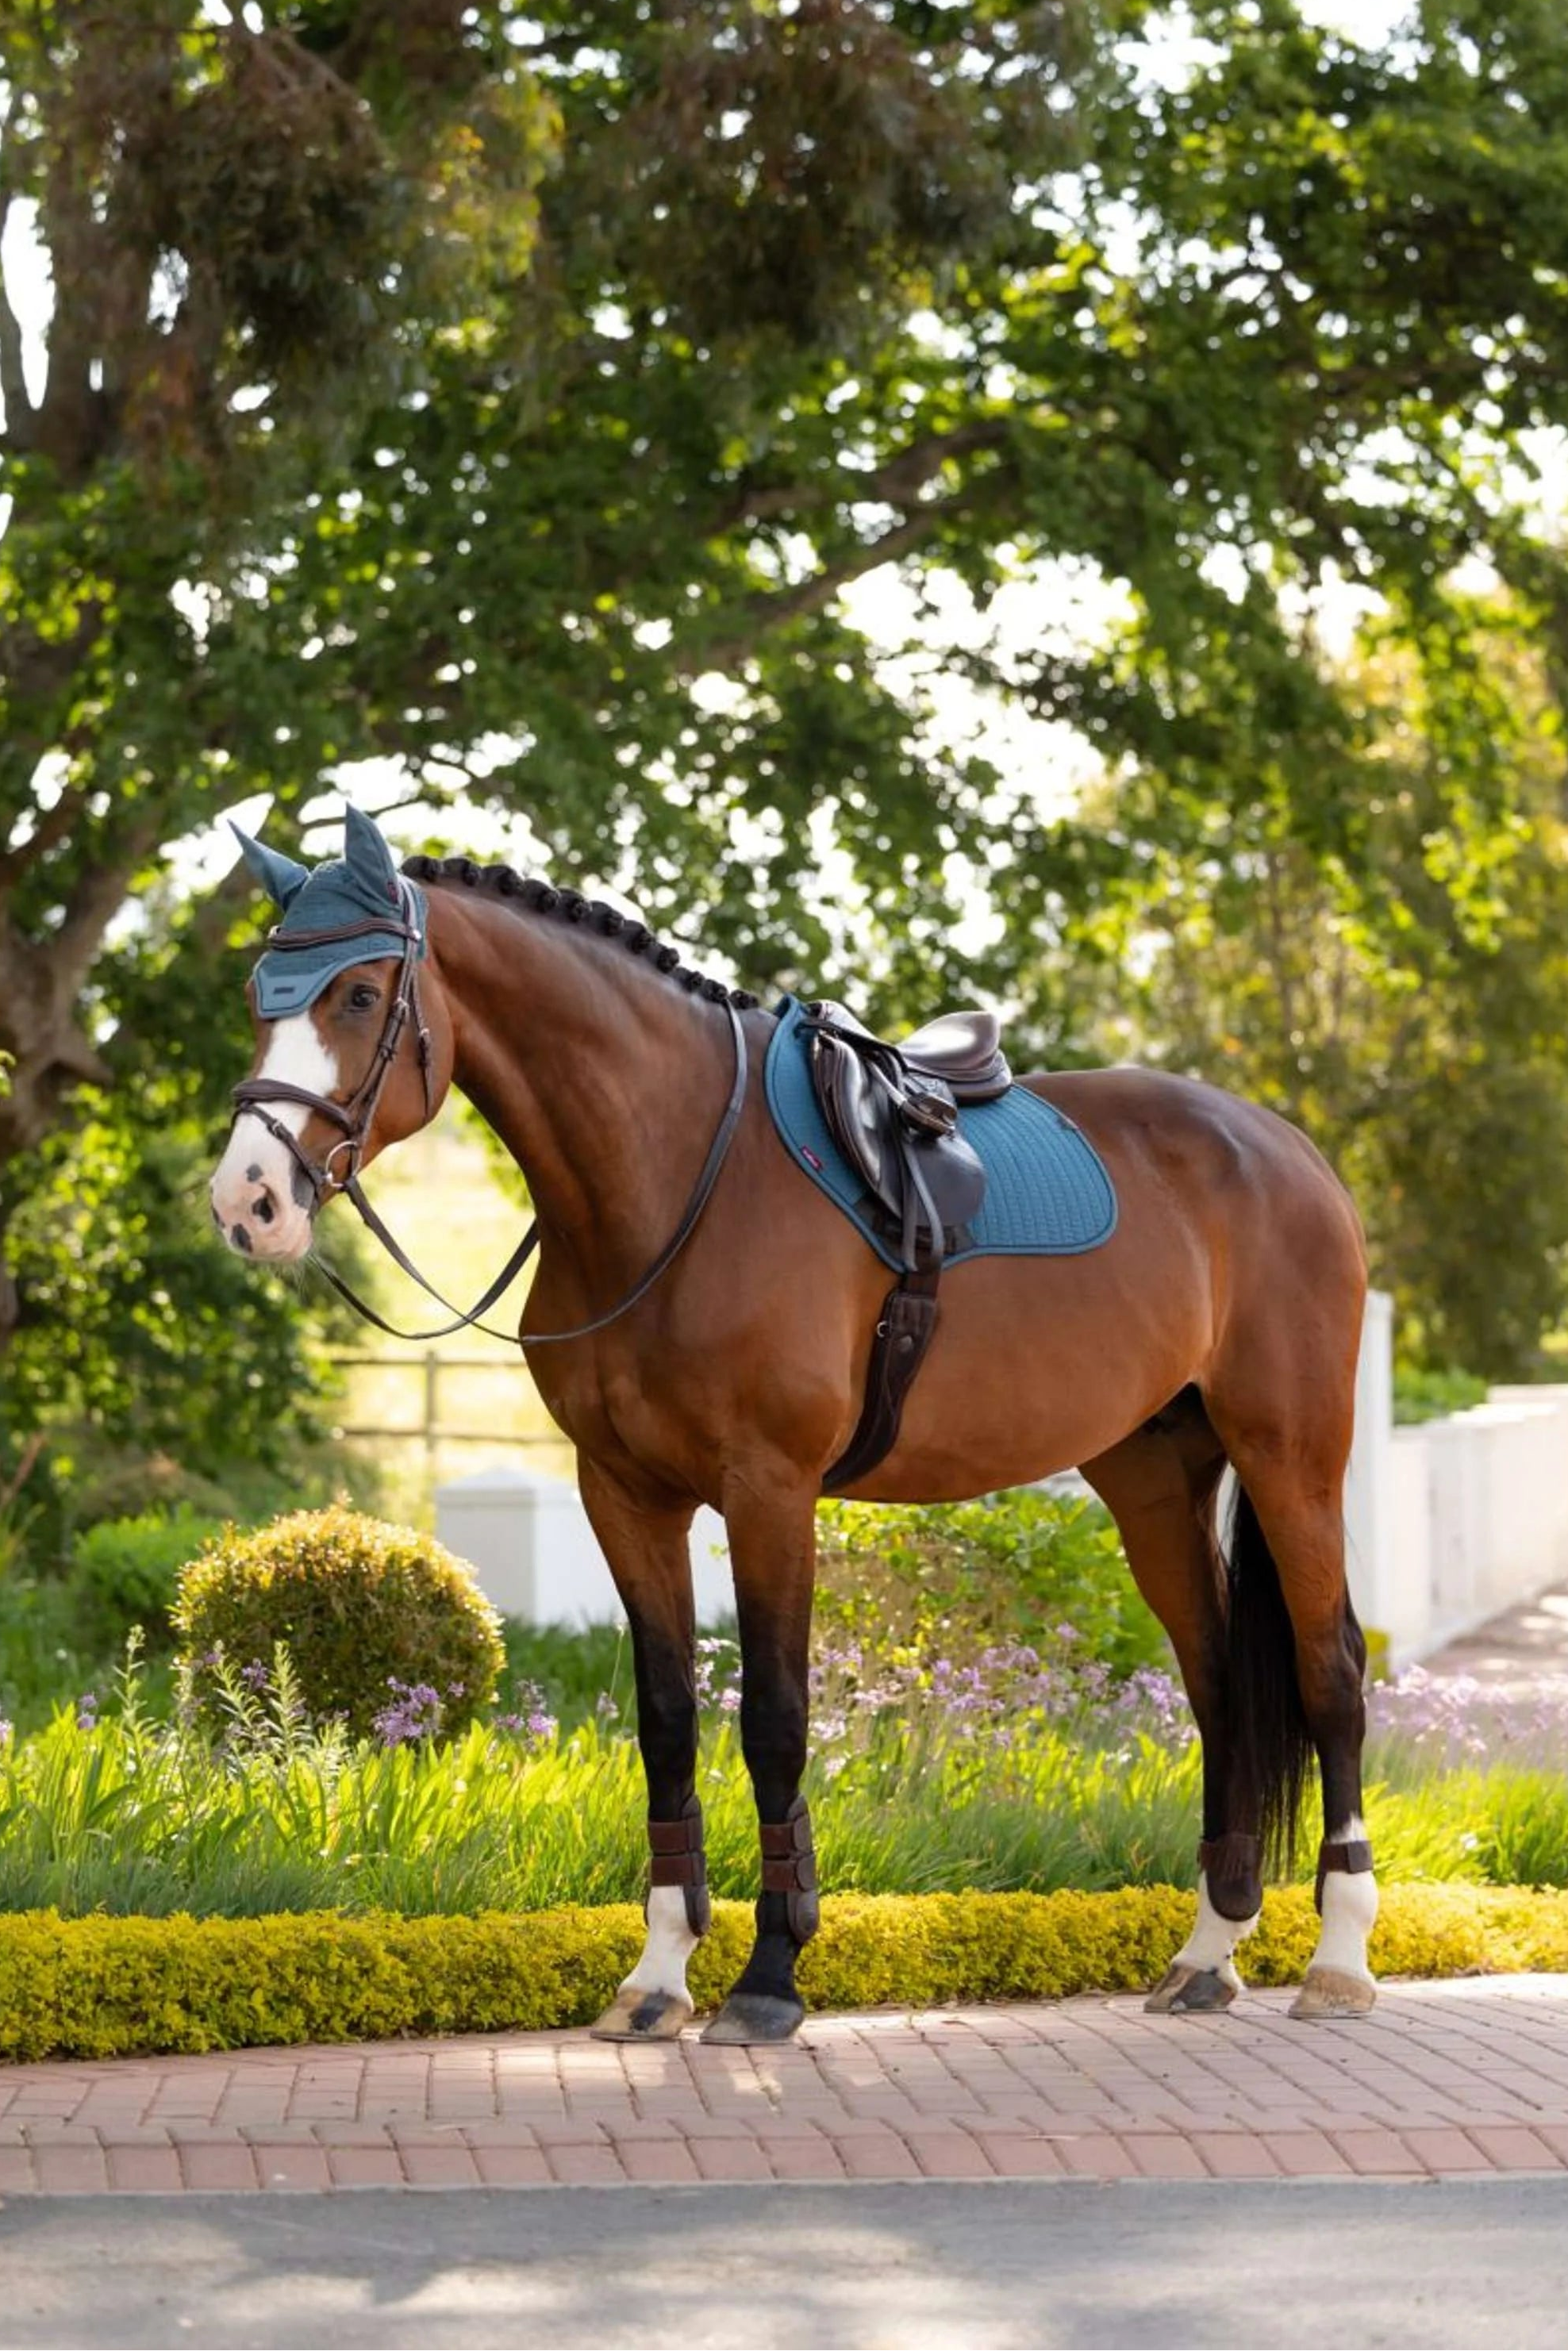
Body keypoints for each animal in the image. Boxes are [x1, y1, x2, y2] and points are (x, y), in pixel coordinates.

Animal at [210, 807, 1377, 2043]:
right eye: (259, 994)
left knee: (1329, 1670)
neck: (677, 1174)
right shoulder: (624, 1491)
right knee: (1219, 1683)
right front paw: (658, 1972)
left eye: (360, 995)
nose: (249, 1201)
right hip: (1152, 1477)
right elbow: (667, 1718)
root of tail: (1288, 1151)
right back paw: (1207, 1949)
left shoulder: (768, 1488)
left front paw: (770, 1973)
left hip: (1293, 1456)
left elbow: (773, 1716)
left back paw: (1339, 1956)